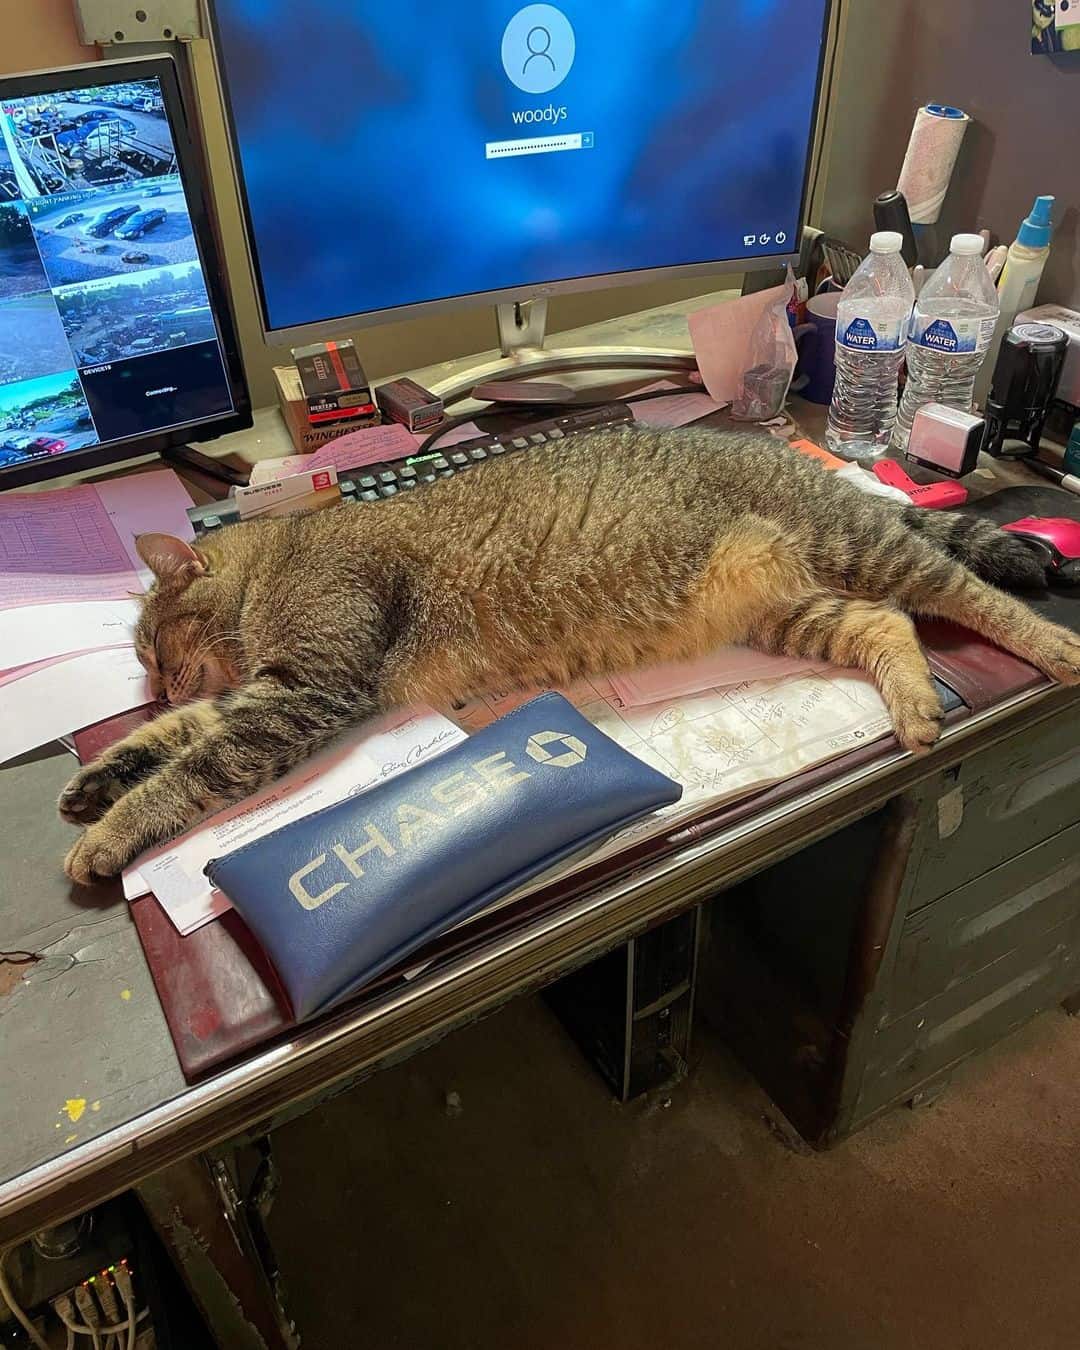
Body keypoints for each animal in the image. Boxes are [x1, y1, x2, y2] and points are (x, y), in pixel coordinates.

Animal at [61, 423, 1080, 885]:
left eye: (152, 647)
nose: (154, 685)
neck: (279, 561)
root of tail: (787, 452)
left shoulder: (303, 689)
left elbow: (191, 770)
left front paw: (111, 831)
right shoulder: (262, 693)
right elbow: (173, 743)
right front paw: (99, 778)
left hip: (861, 548)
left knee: (963, 592)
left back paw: (1053, 645)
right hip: (787, 605)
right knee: (887, 627)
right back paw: (916, 707)